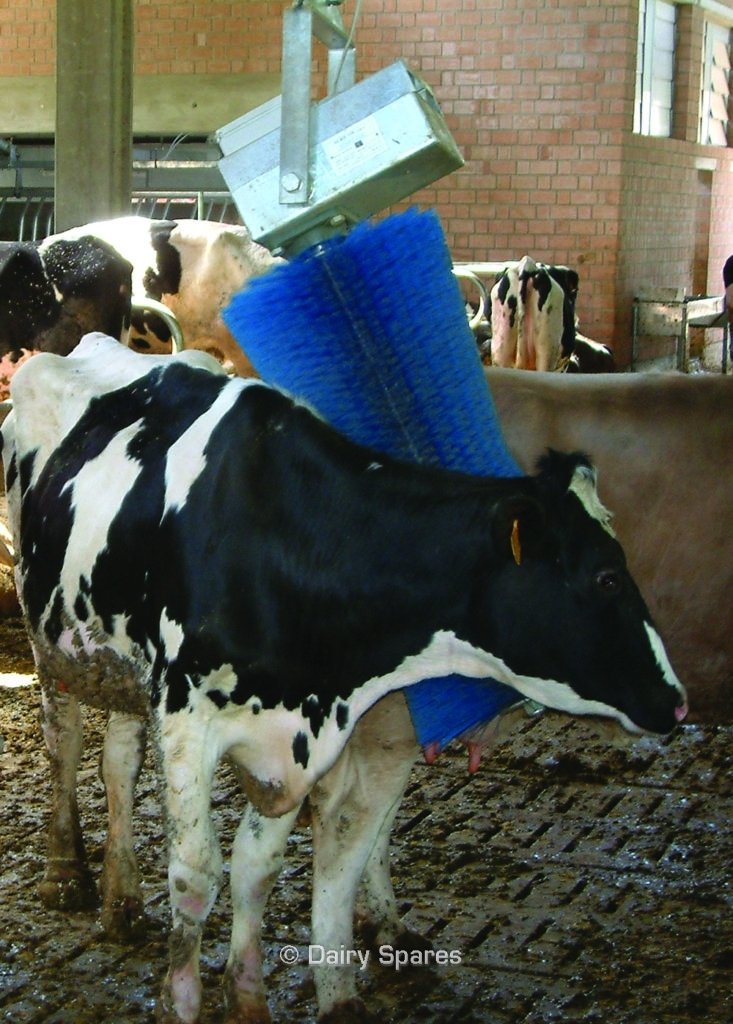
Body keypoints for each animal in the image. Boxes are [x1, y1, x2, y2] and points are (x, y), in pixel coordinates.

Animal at [1, 333, 687, 1024]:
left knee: (118, 763)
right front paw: (181, 1003)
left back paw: (120, 900)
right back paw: (66, 875)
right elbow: (195, 874)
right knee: (65, 746)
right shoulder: (188, 717)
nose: (677, 702)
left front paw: (246, 1000)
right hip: (49, 635)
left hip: (120, 664)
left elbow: (256, 868)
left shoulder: (295, 739)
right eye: (605, 576)